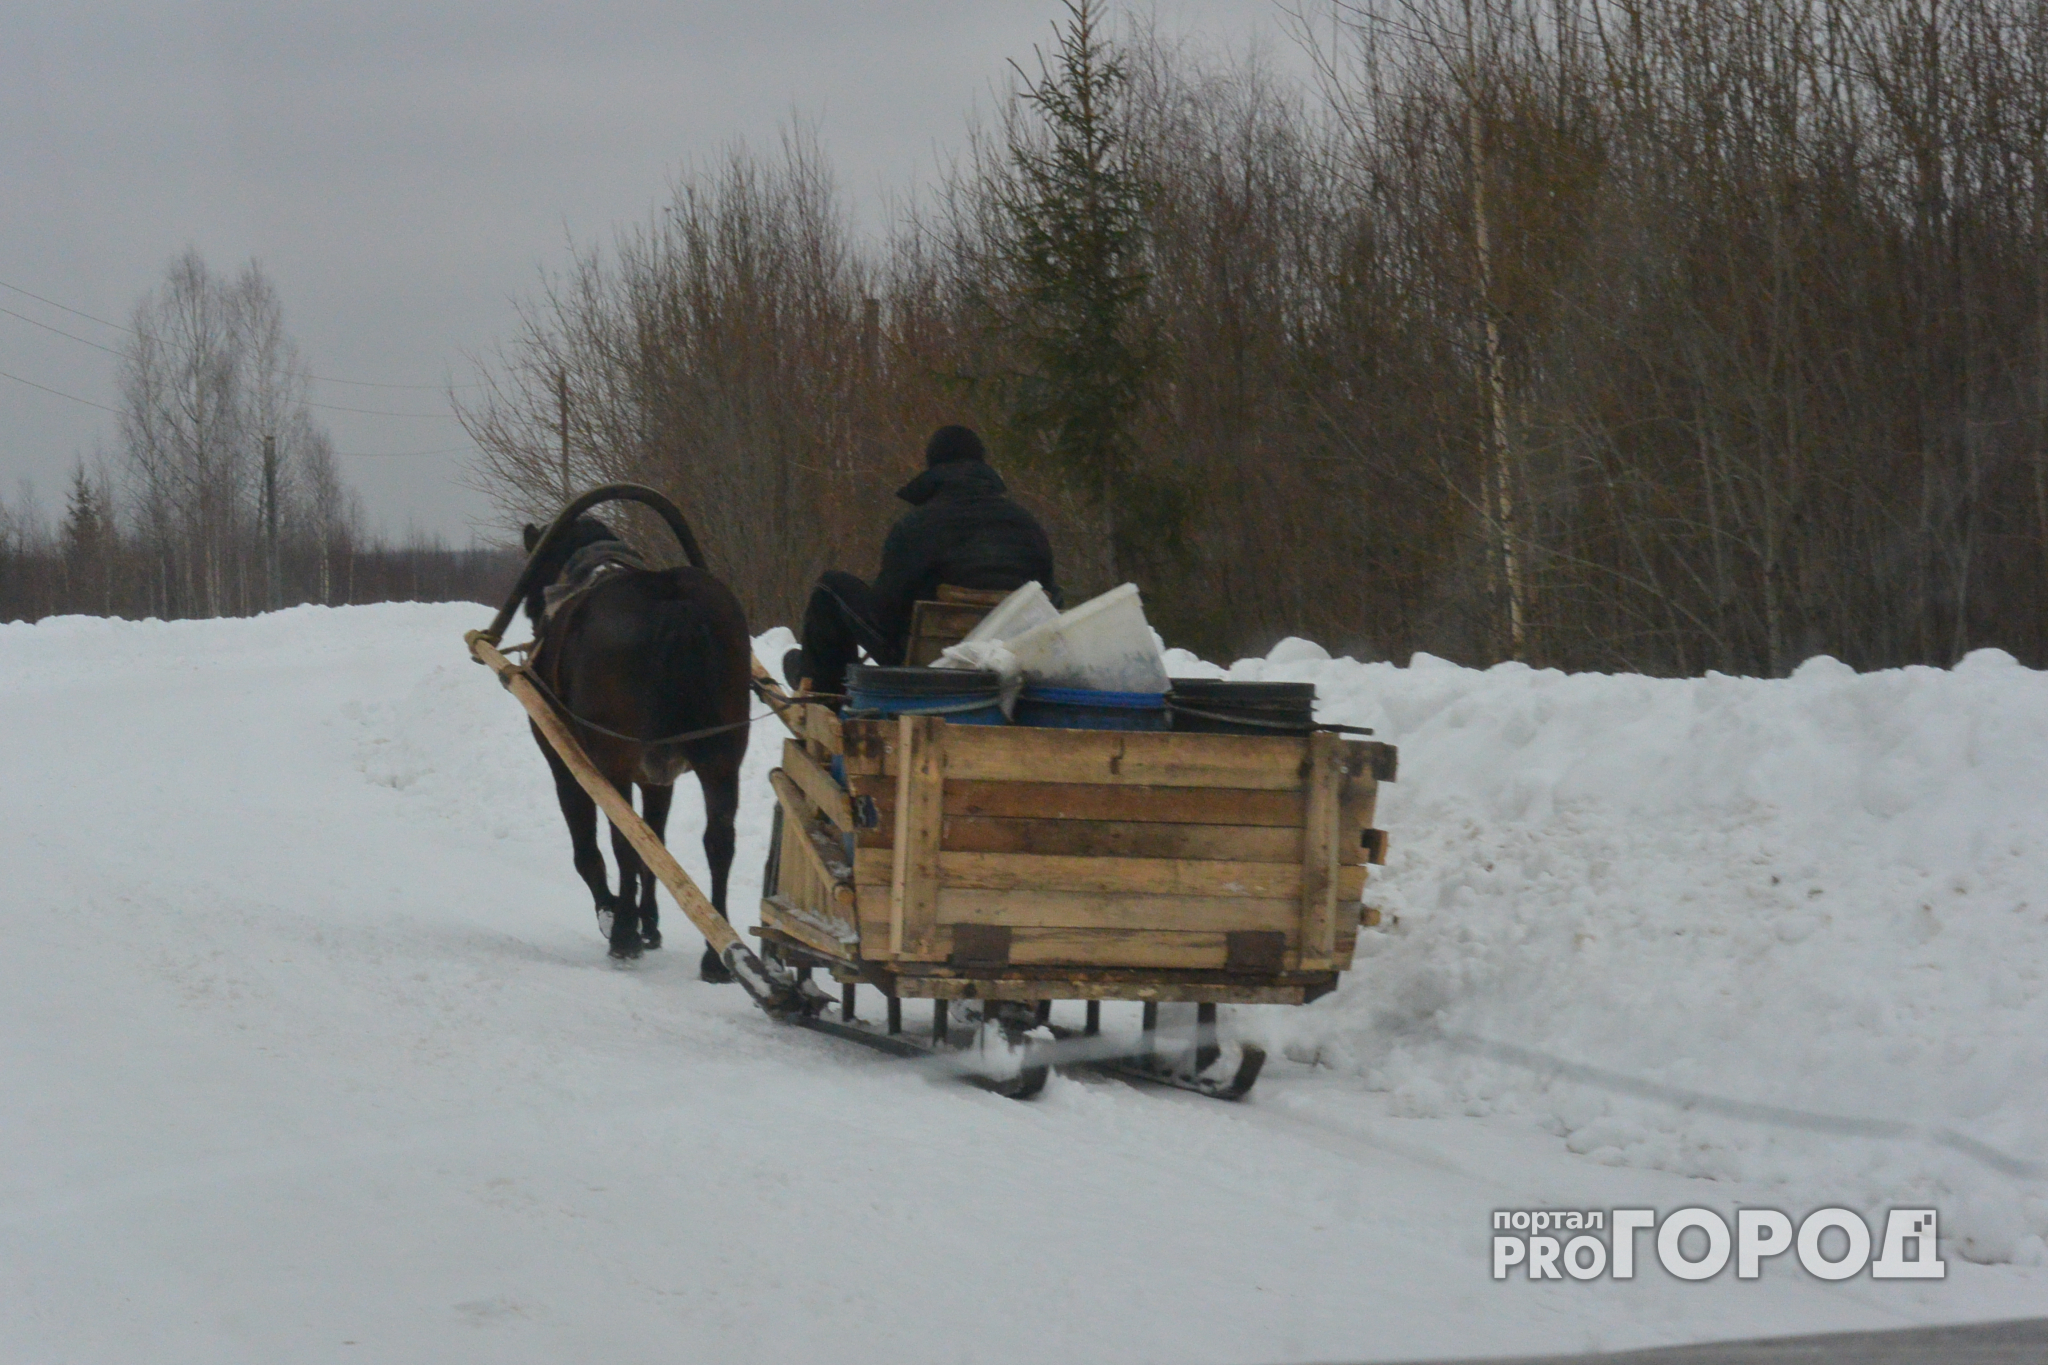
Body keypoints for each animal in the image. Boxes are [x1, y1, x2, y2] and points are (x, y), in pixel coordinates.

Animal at [520, 507, 753, 978]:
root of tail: (673, 599)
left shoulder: (565, 762)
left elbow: (590, 851)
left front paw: (616, 916)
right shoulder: (657, 777)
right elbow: (655, 844)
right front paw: (651, 923)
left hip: (614, 759)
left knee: (622, 841)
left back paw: (624, 934)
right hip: (722, 758)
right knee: (718, 841)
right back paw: (716, 955)